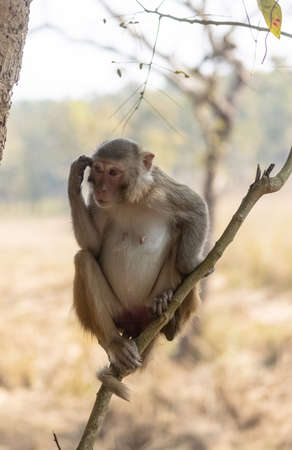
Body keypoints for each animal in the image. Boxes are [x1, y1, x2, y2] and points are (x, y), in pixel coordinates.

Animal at [68, 138, 210, 400]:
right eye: (99, 169)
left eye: (113, 172)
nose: (102, 189)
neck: (129, 200)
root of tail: (136, 326)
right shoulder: (99, 205)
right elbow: (92, 246)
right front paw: (74, 180)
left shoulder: (163, 190)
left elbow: (196, 209)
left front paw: (192, 264)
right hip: (117, 312)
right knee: (83, 260)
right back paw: (113, 343)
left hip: (148, 306)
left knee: (179, 233)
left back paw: (168, 310)